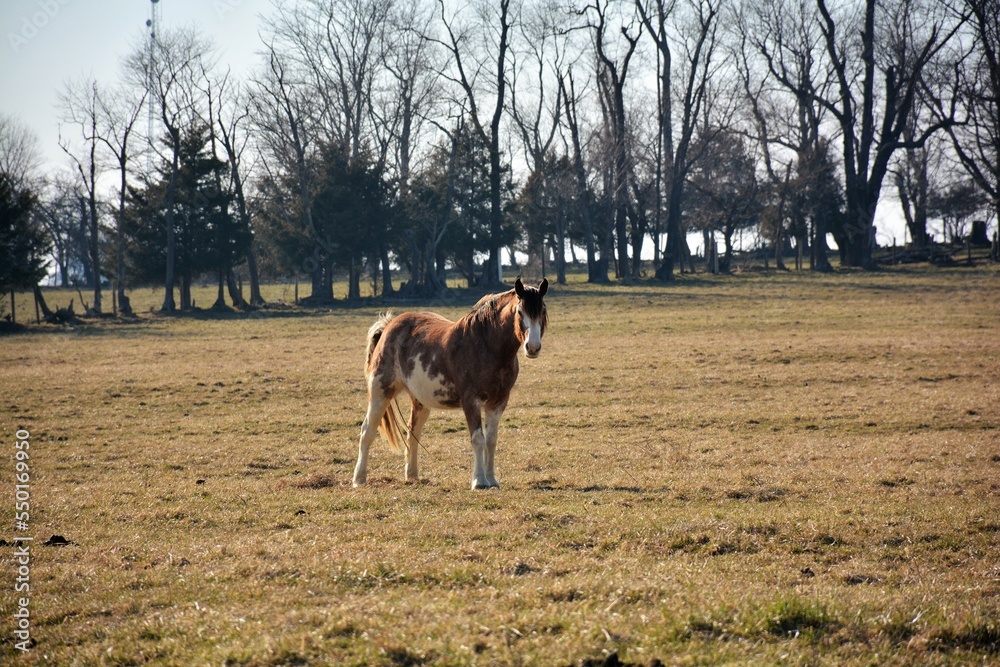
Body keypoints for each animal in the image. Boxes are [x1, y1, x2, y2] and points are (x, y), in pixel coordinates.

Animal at [352, 278, 548, 490]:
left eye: (542, 311)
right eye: (520, 312)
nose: (533, 347)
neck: (486, 346)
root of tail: (389, 326)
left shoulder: (498, 401)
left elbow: (491, 441)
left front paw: (492, 480)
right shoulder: (471, 401)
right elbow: (478, 439)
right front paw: (479, 481)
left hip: (420, 401)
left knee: (413, 434)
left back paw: (412, 476)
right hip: (381, 392)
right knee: (367, 431)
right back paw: (359, 478)